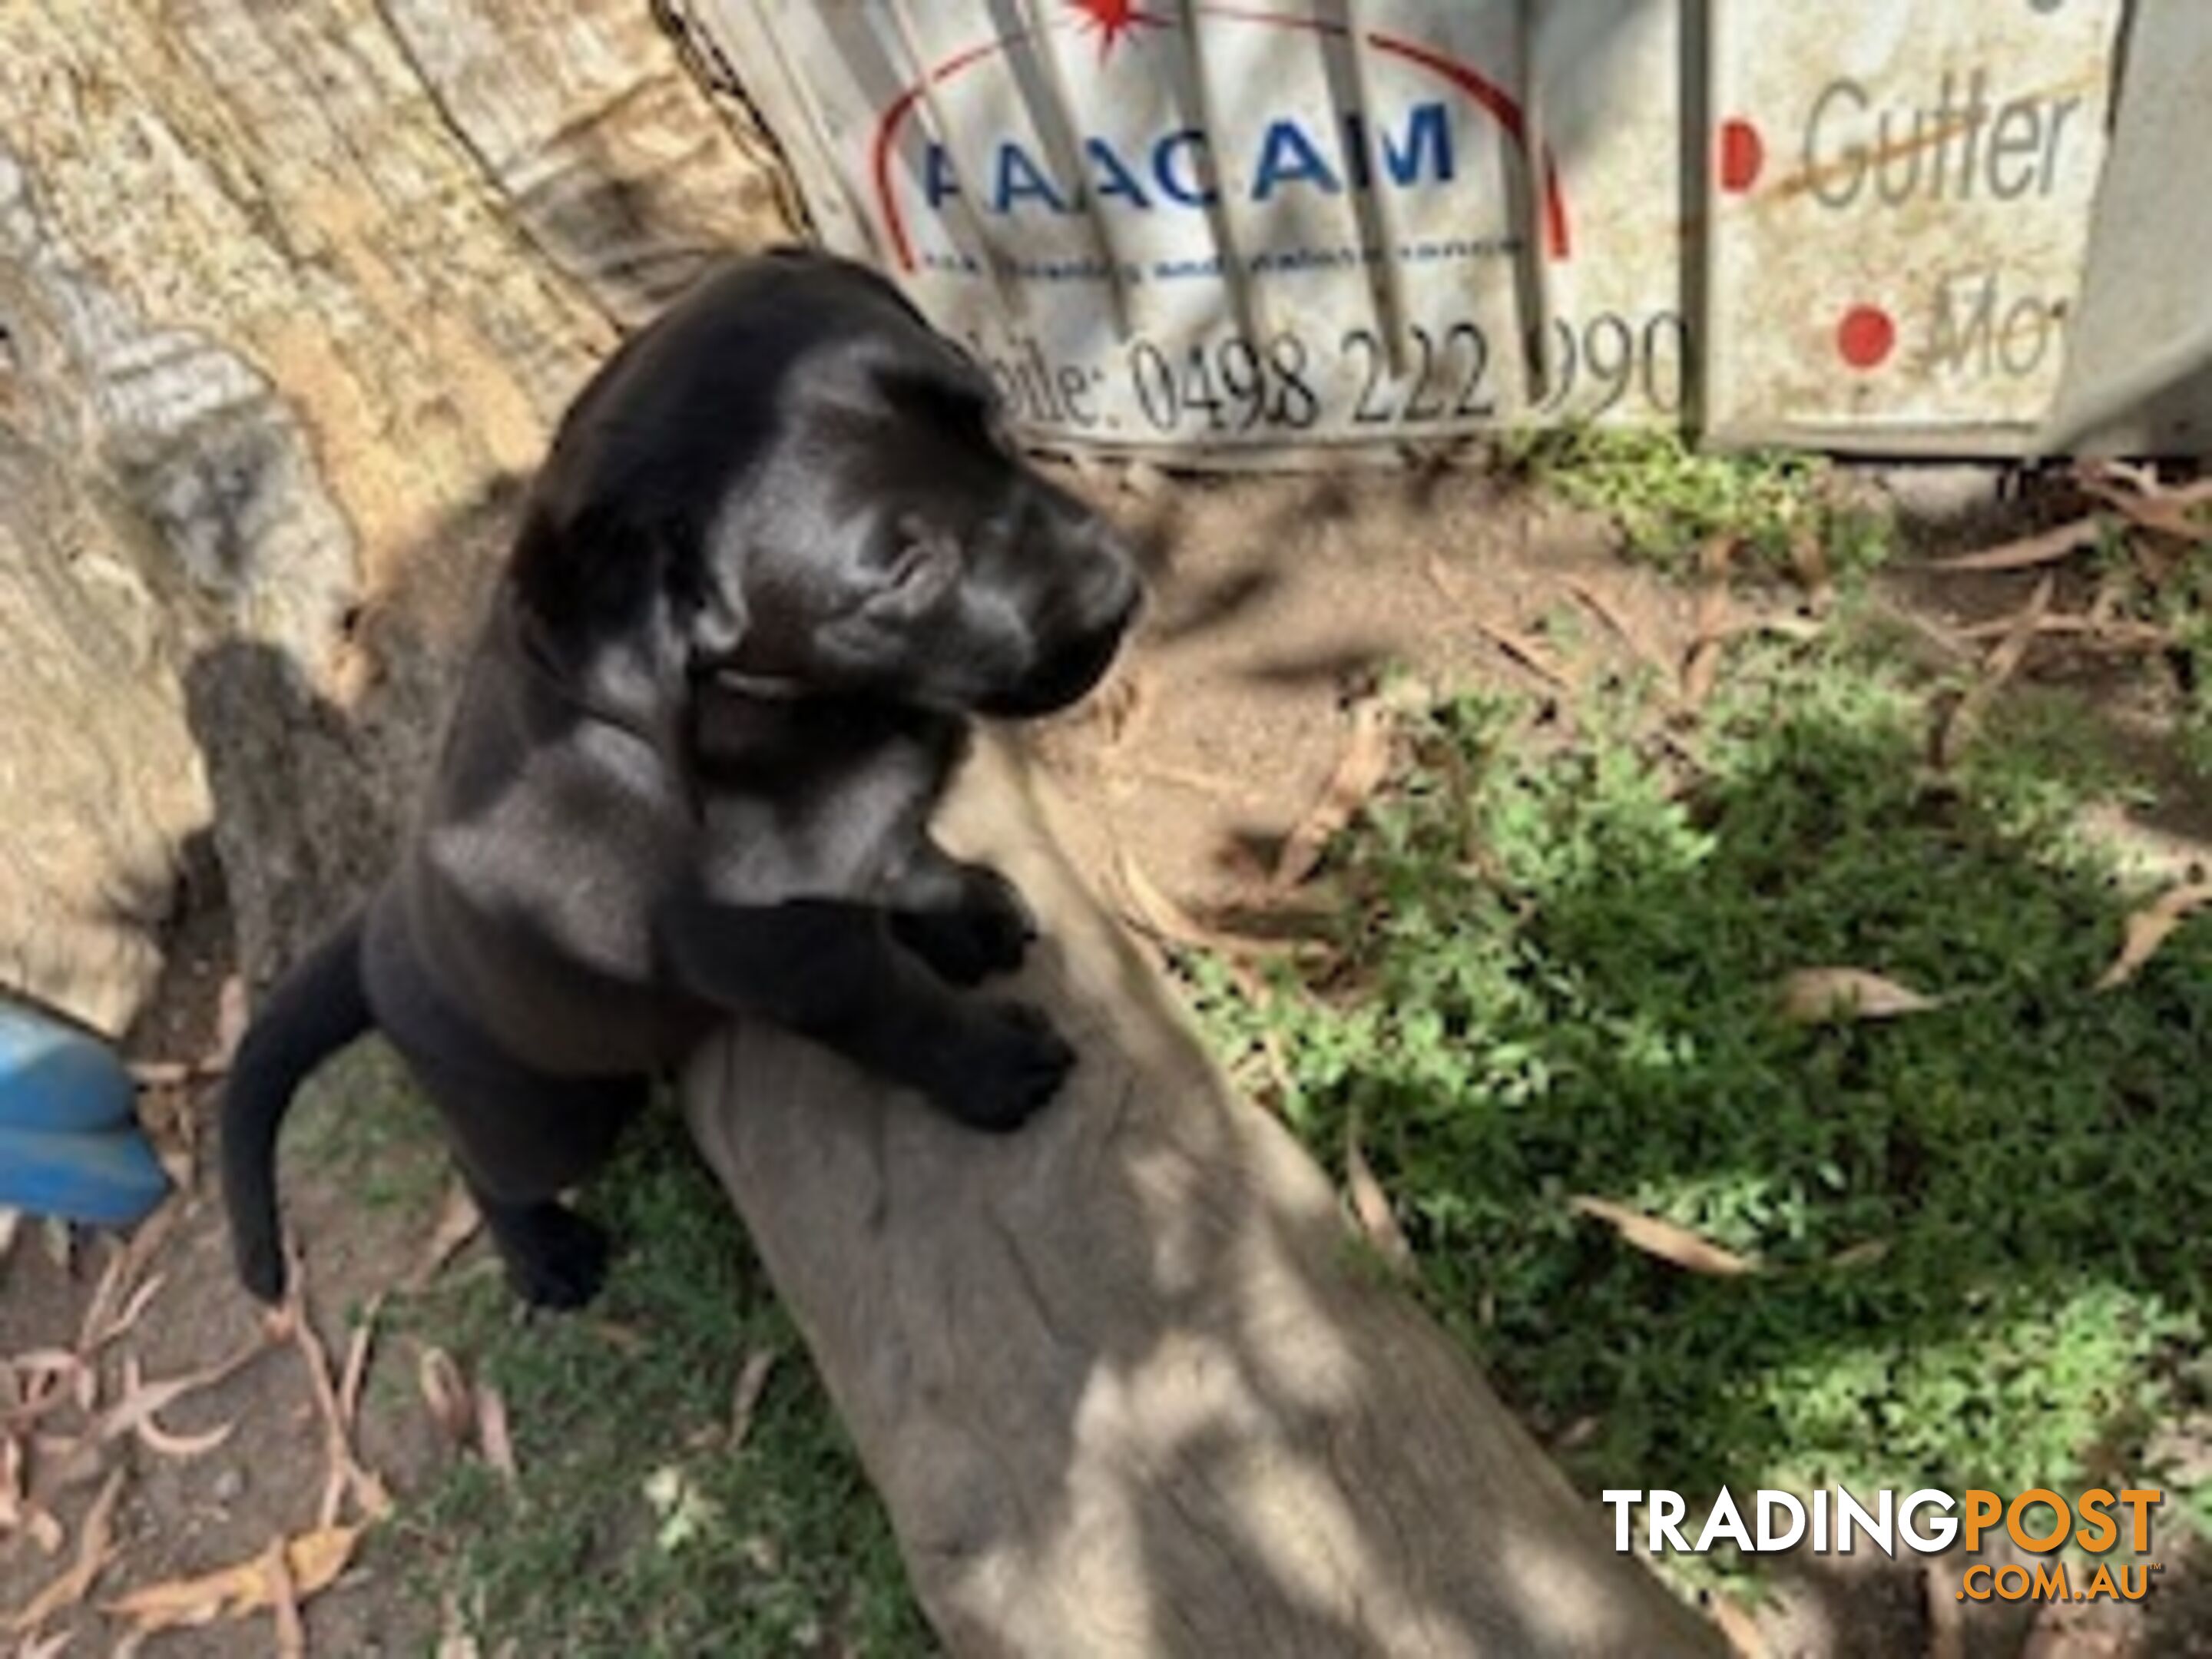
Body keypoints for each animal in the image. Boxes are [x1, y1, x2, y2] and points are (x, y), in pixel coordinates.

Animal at [222, 247, 1141, 1309]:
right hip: (548, 1107)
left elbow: (903, 855)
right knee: (485, 1169)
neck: (800, 717)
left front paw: (964, 912)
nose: (1121, 592)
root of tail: (377, 929)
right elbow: (899, 1013)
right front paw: (994, 1068)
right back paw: (544, 1257)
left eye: (990, 414)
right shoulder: (788, 960)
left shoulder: (857, 844)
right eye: (904, 568)